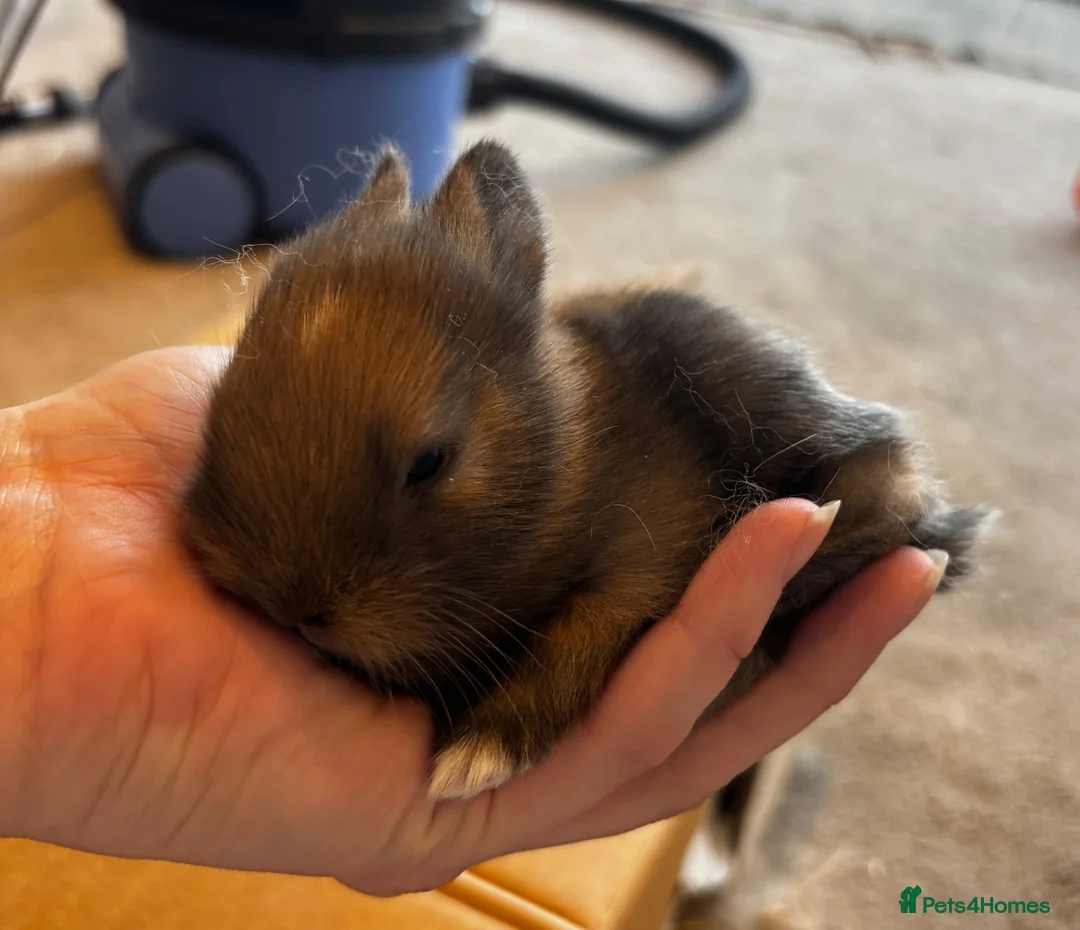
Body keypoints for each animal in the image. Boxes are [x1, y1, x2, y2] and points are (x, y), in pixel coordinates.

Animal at [179, 139, 989, 803]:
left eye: (431, 462)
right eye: (224, 399)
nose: (294, 610)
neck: (565, 469)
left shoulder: (647, 561)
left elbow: (575, 642)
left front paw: (471, 765)